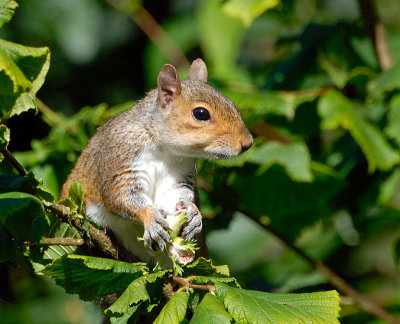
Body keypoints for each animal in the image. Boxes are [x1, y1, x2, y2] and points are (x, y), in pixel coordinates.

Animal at [60, 58, 253, 264]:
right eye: (201, 113)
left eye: (231, 103)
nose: (247, 142)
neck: (165, 150)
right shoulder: (119, 158)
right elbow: (119, 195)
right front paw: (150, 217)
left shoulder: (179, 174)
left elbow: (175, 196)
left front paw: (193, 212)